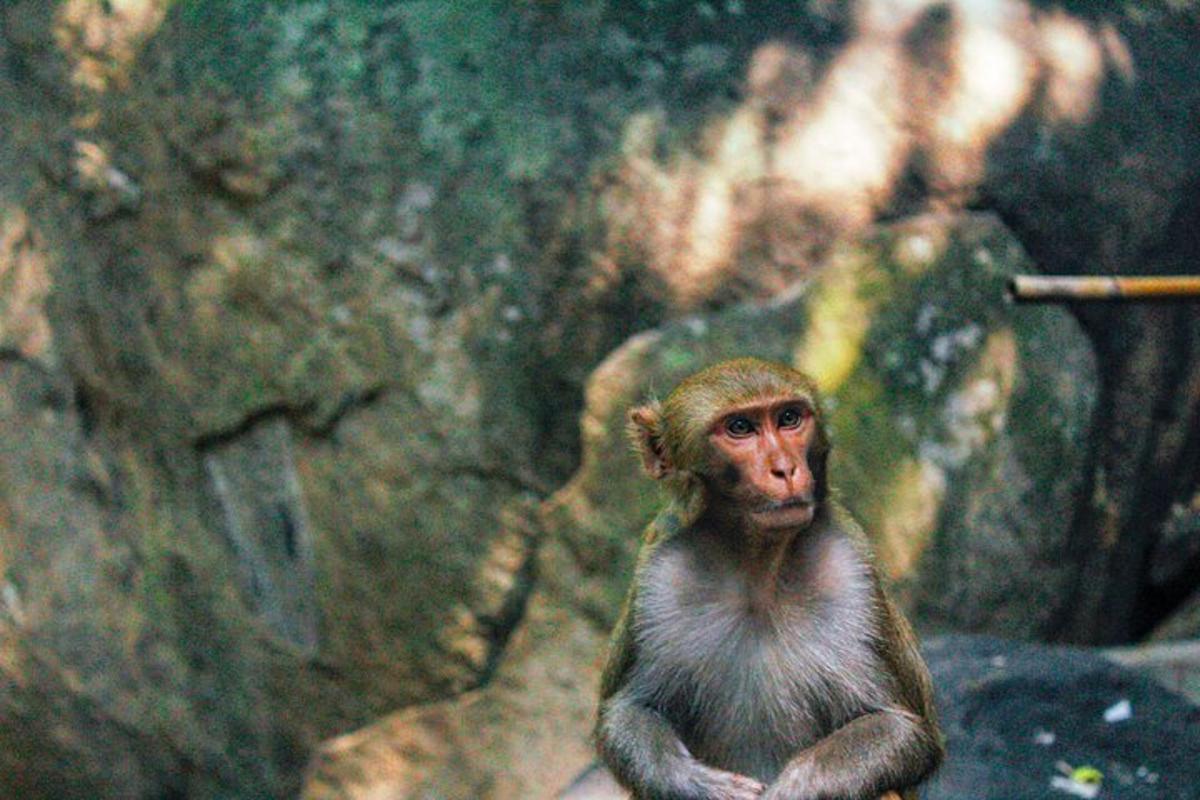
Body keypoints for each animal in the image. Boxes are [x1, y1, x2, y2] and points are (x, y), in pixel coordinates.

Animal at [595, 357, 940, 800]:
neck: (757, 568)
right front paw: (702, 786)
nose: (785, 469)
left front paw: (792, 790)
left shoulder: (852, 572)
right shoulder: (658, 577)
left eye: (789, 418)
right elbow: (627, 712)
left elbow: (901, 728)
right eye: (740, 428)